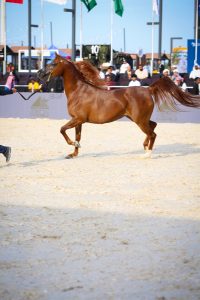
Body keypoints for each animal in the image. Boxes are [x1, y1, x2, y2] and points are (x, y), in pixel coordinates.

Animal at [38, 54, 200, 159]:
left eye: (53, 64)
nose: (39, 73)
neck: (79, 91)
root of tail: (148, 89)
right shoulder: (78, 121)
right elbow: (78, 136)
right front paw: (73, 153)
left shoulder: (78, 119)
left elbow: (62, 129)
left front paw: (72, 144)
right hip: (137, 118)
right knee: (153, 126)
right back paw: (144, 146)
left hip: (139, 120)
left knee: (152, 133)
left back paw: (147, 154)